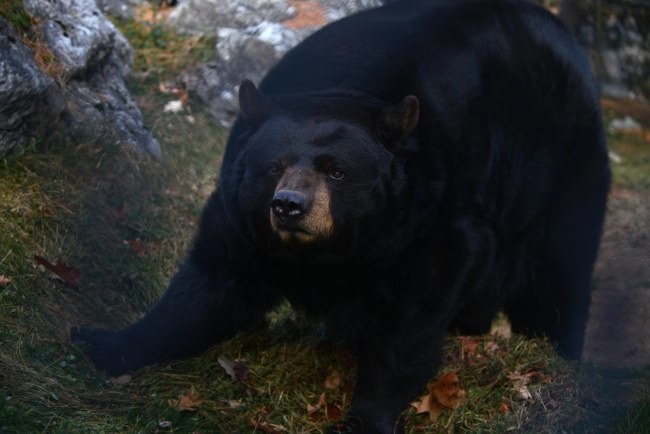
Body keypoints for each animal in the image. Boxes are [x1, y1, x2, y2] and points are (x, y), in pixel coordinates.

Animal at [72, 0, 610, 433]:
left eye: (336, 171)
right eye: (274, 166)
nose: (289, 205)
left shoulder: (433, 217)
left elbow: (413, 319)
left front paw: (365, 416)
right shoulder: (241, 212)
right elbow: (208, 283)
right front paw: (104, 342)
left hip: (564, 173)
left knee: (557, 281)